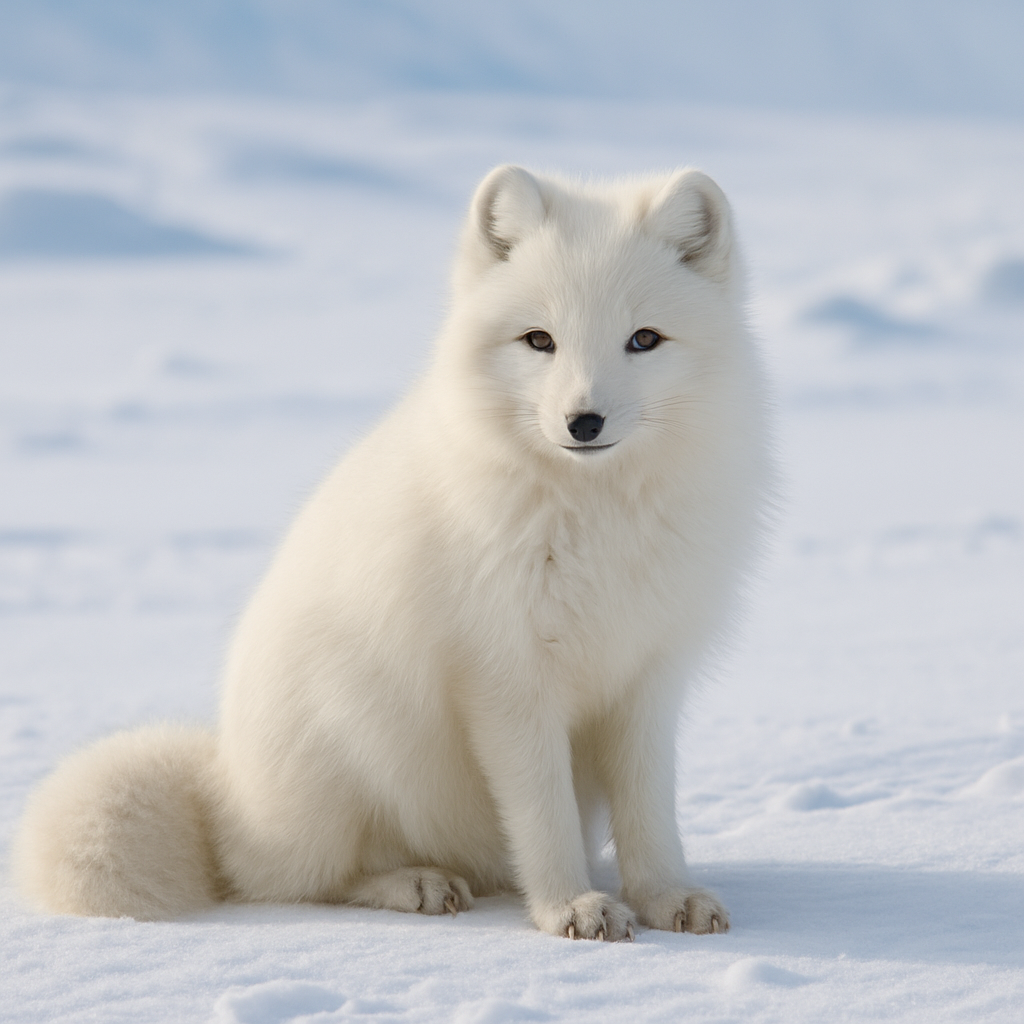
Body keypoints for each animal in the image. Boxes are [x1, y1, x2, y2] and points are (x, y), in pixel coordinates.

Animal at [14, 165, 771, 940]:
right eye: (539, 340)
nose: (582, 421)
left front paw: (665, 895)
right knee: (298, 881)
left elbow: (651, 809)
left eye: (644, 339)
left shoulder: (650, 675)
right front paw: (569, 905)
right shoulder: (505, 679)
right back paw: (415, 884)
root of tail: (221, 792)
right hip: (352, 733)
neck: (595, 516)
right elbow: (542, 812)